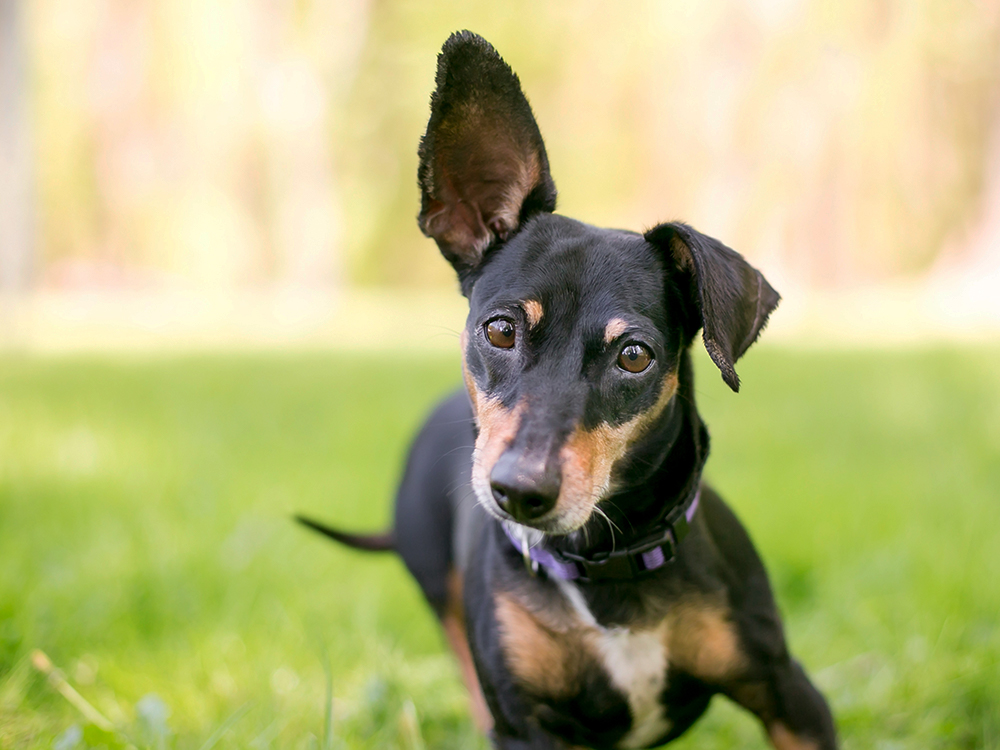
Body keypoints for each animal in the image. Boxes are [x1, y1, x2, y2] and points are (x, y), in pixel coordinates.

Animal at [300, 30, 840, 750]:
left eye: (633, 356)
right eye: (500, 330)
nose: (521, 491)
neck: (607, 564)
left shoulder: (791, 694)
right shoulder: (524, 724)